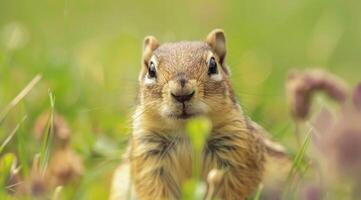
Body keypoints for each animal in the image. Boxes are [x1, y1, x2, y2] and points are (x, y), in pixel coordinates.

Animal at [109, 28, 286, 199]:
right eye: (151, 70)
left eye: (213, 65)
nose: (182, 94)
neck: (186, 131)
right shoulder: (148, 156)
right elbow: (154, 189)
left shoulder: (238, 153)